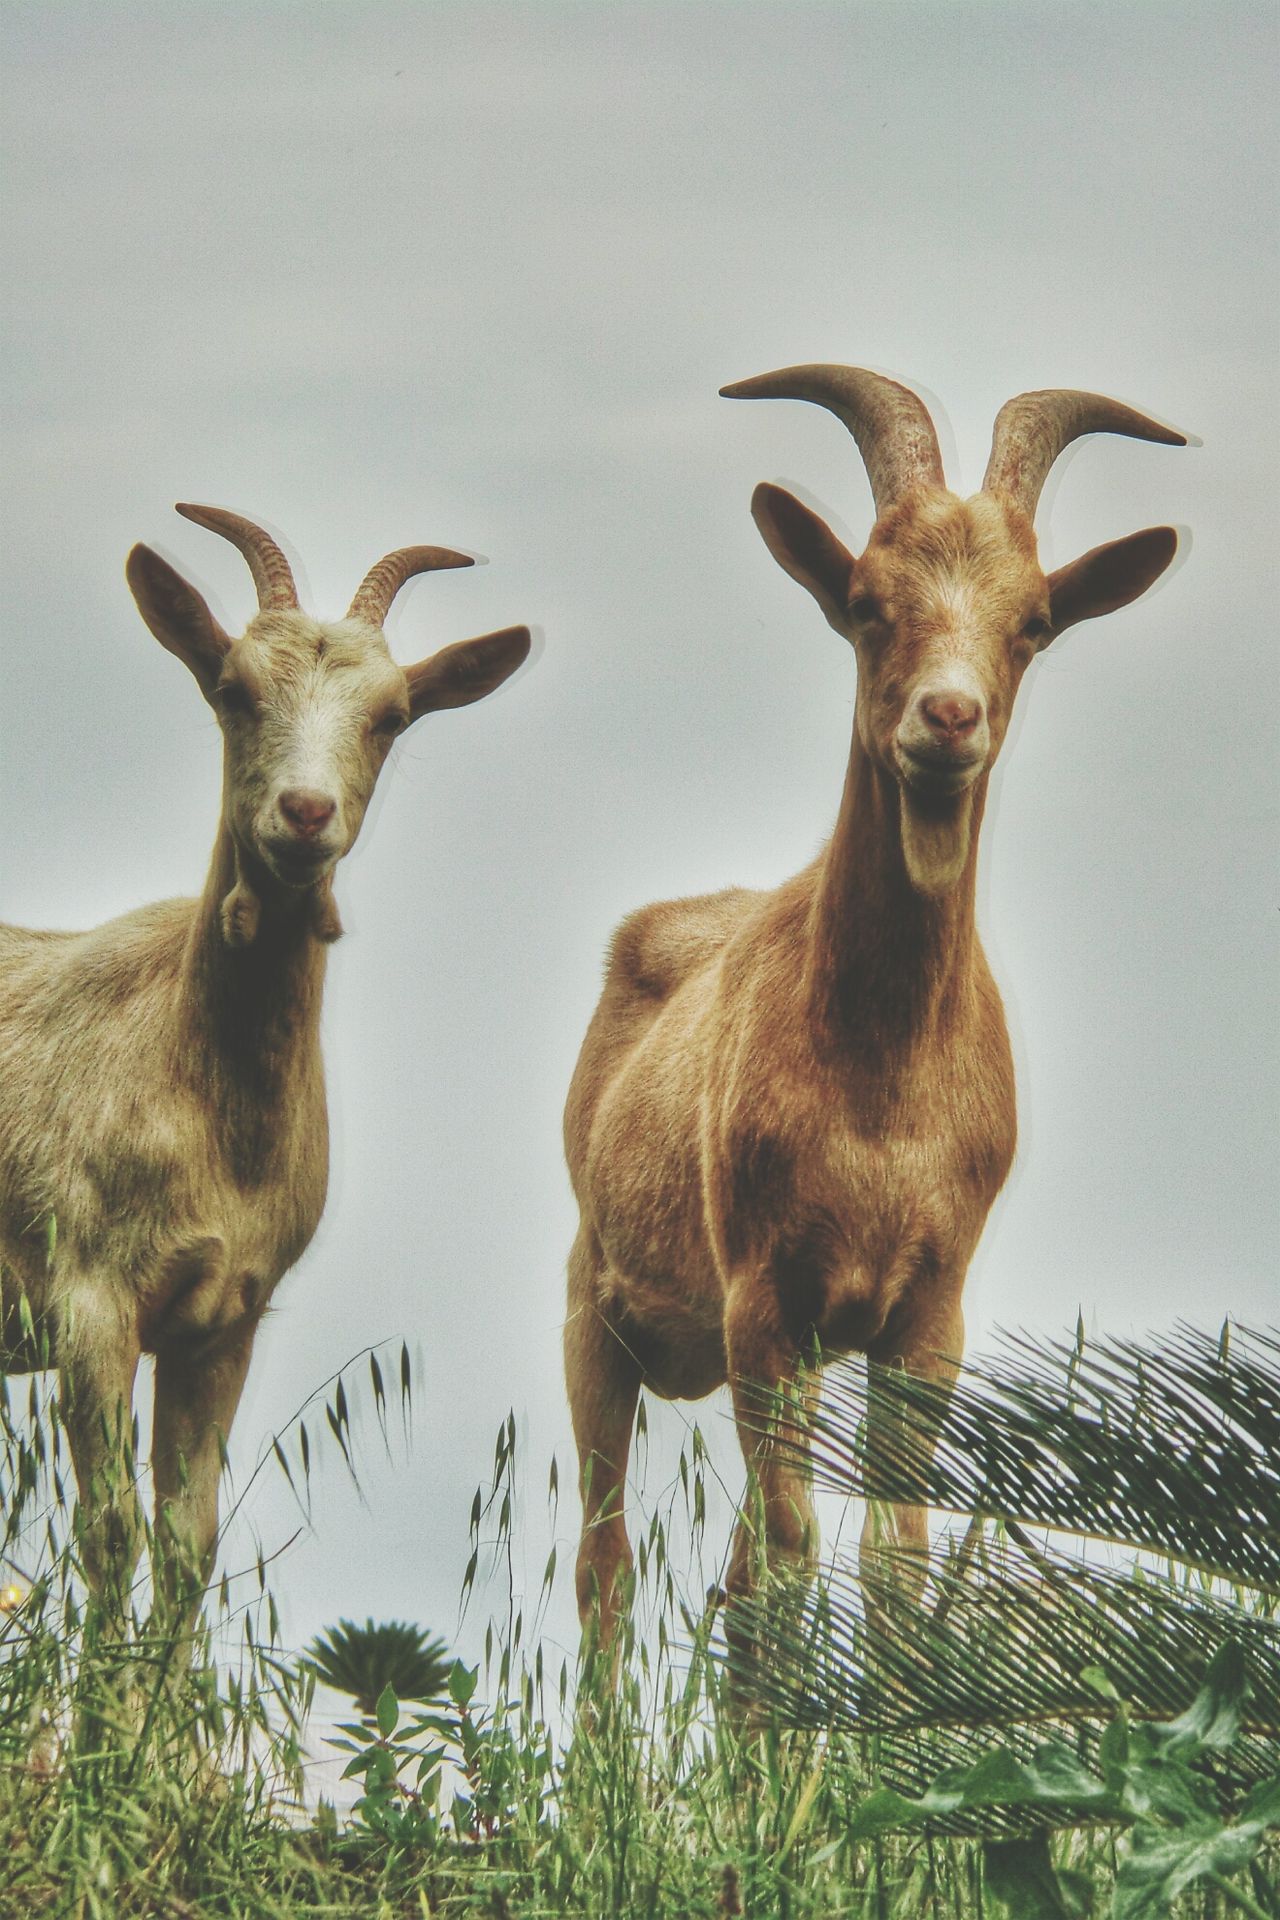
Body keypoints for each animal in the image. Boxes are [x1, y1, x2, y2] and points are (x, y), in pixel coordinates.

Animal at [0, 510, 529, 1635]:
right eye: (232, 687)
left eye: (393, 715)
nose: (304, 813)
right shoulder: (88, 1296)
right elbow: (108, 1534)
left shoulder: (224, 1317)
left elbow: (186, 1541)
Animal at [564, 370, 1189, 1666]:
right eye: (861, 602)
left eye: (1032, 621)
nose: (947, 720)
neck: (878, 1086)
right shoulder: (767, 1298)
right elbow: (794, 1555)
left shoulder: (924, 1313)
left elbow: (888, 1558)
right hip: (594, 1306)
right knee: (605, 1567)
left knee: (727, 1575)